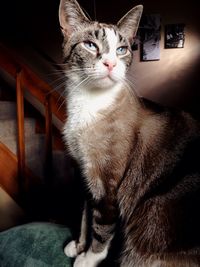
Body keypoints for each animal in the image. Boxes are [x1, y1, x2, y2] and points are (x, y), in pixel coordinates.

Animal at [58, 0, 200, 267]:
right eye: (90, 45)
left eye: (122, 49)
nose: (111, 64)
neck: (88, 103)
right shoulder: (85, 175)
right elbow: (84, 217)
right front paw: (78, 246)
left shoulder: (106, 187)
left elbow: (100, 230)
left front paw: (86, 259)